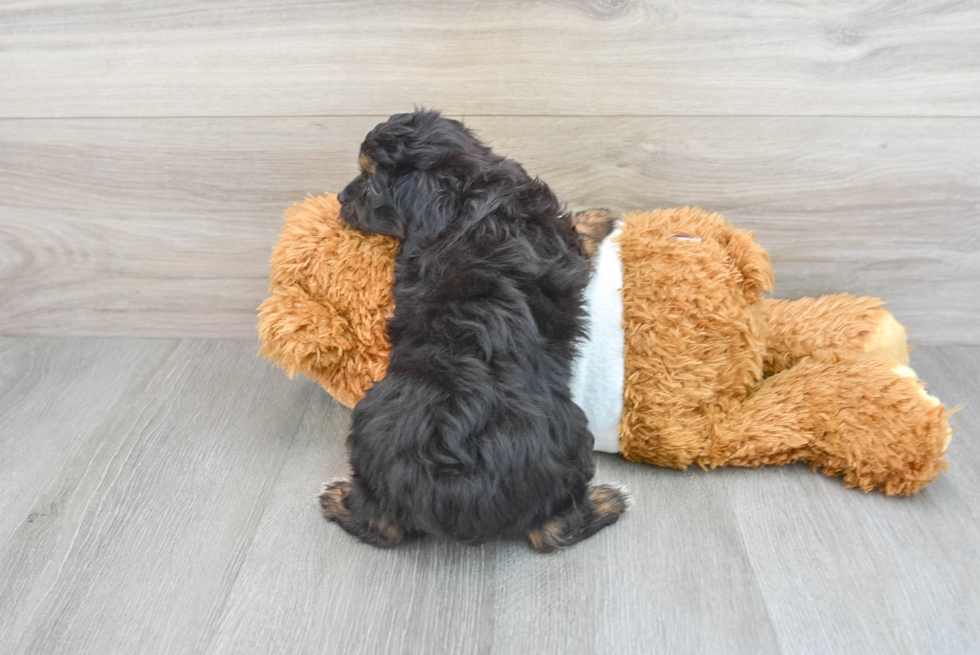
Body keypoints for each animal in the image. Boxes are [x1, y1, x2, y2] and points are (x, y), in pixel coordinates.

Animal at [322, 110, 628, 552]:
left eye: (370, 182)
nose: (341, 198)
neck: (464, 196)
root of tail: (453, 484)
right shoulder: (561, 240)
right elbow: (577, 230)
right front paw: (599, 215)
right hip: (569, 442)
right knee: (551, 529)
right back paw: (609, 501)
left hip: (366, 439)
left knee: (385, 524)